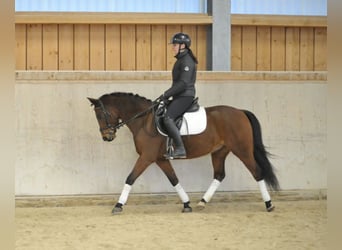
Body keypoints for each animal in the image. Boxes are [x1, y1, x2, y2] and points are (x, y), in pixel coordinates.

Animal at [87, 93, 280, 214]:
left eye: (100, 115)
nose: (107, 137)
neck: (143, 121)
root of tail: (240, 111)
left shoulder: (146, 157)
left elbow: (130, 178)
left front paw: (118, 205)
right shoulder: (160, 159)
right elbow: (174, 179)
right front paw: (187, 204)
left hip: (242, 150)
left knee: (257, 172)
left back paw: (269, 204)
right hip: (219, 152)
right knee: (219, 175)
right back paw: (202, 202)